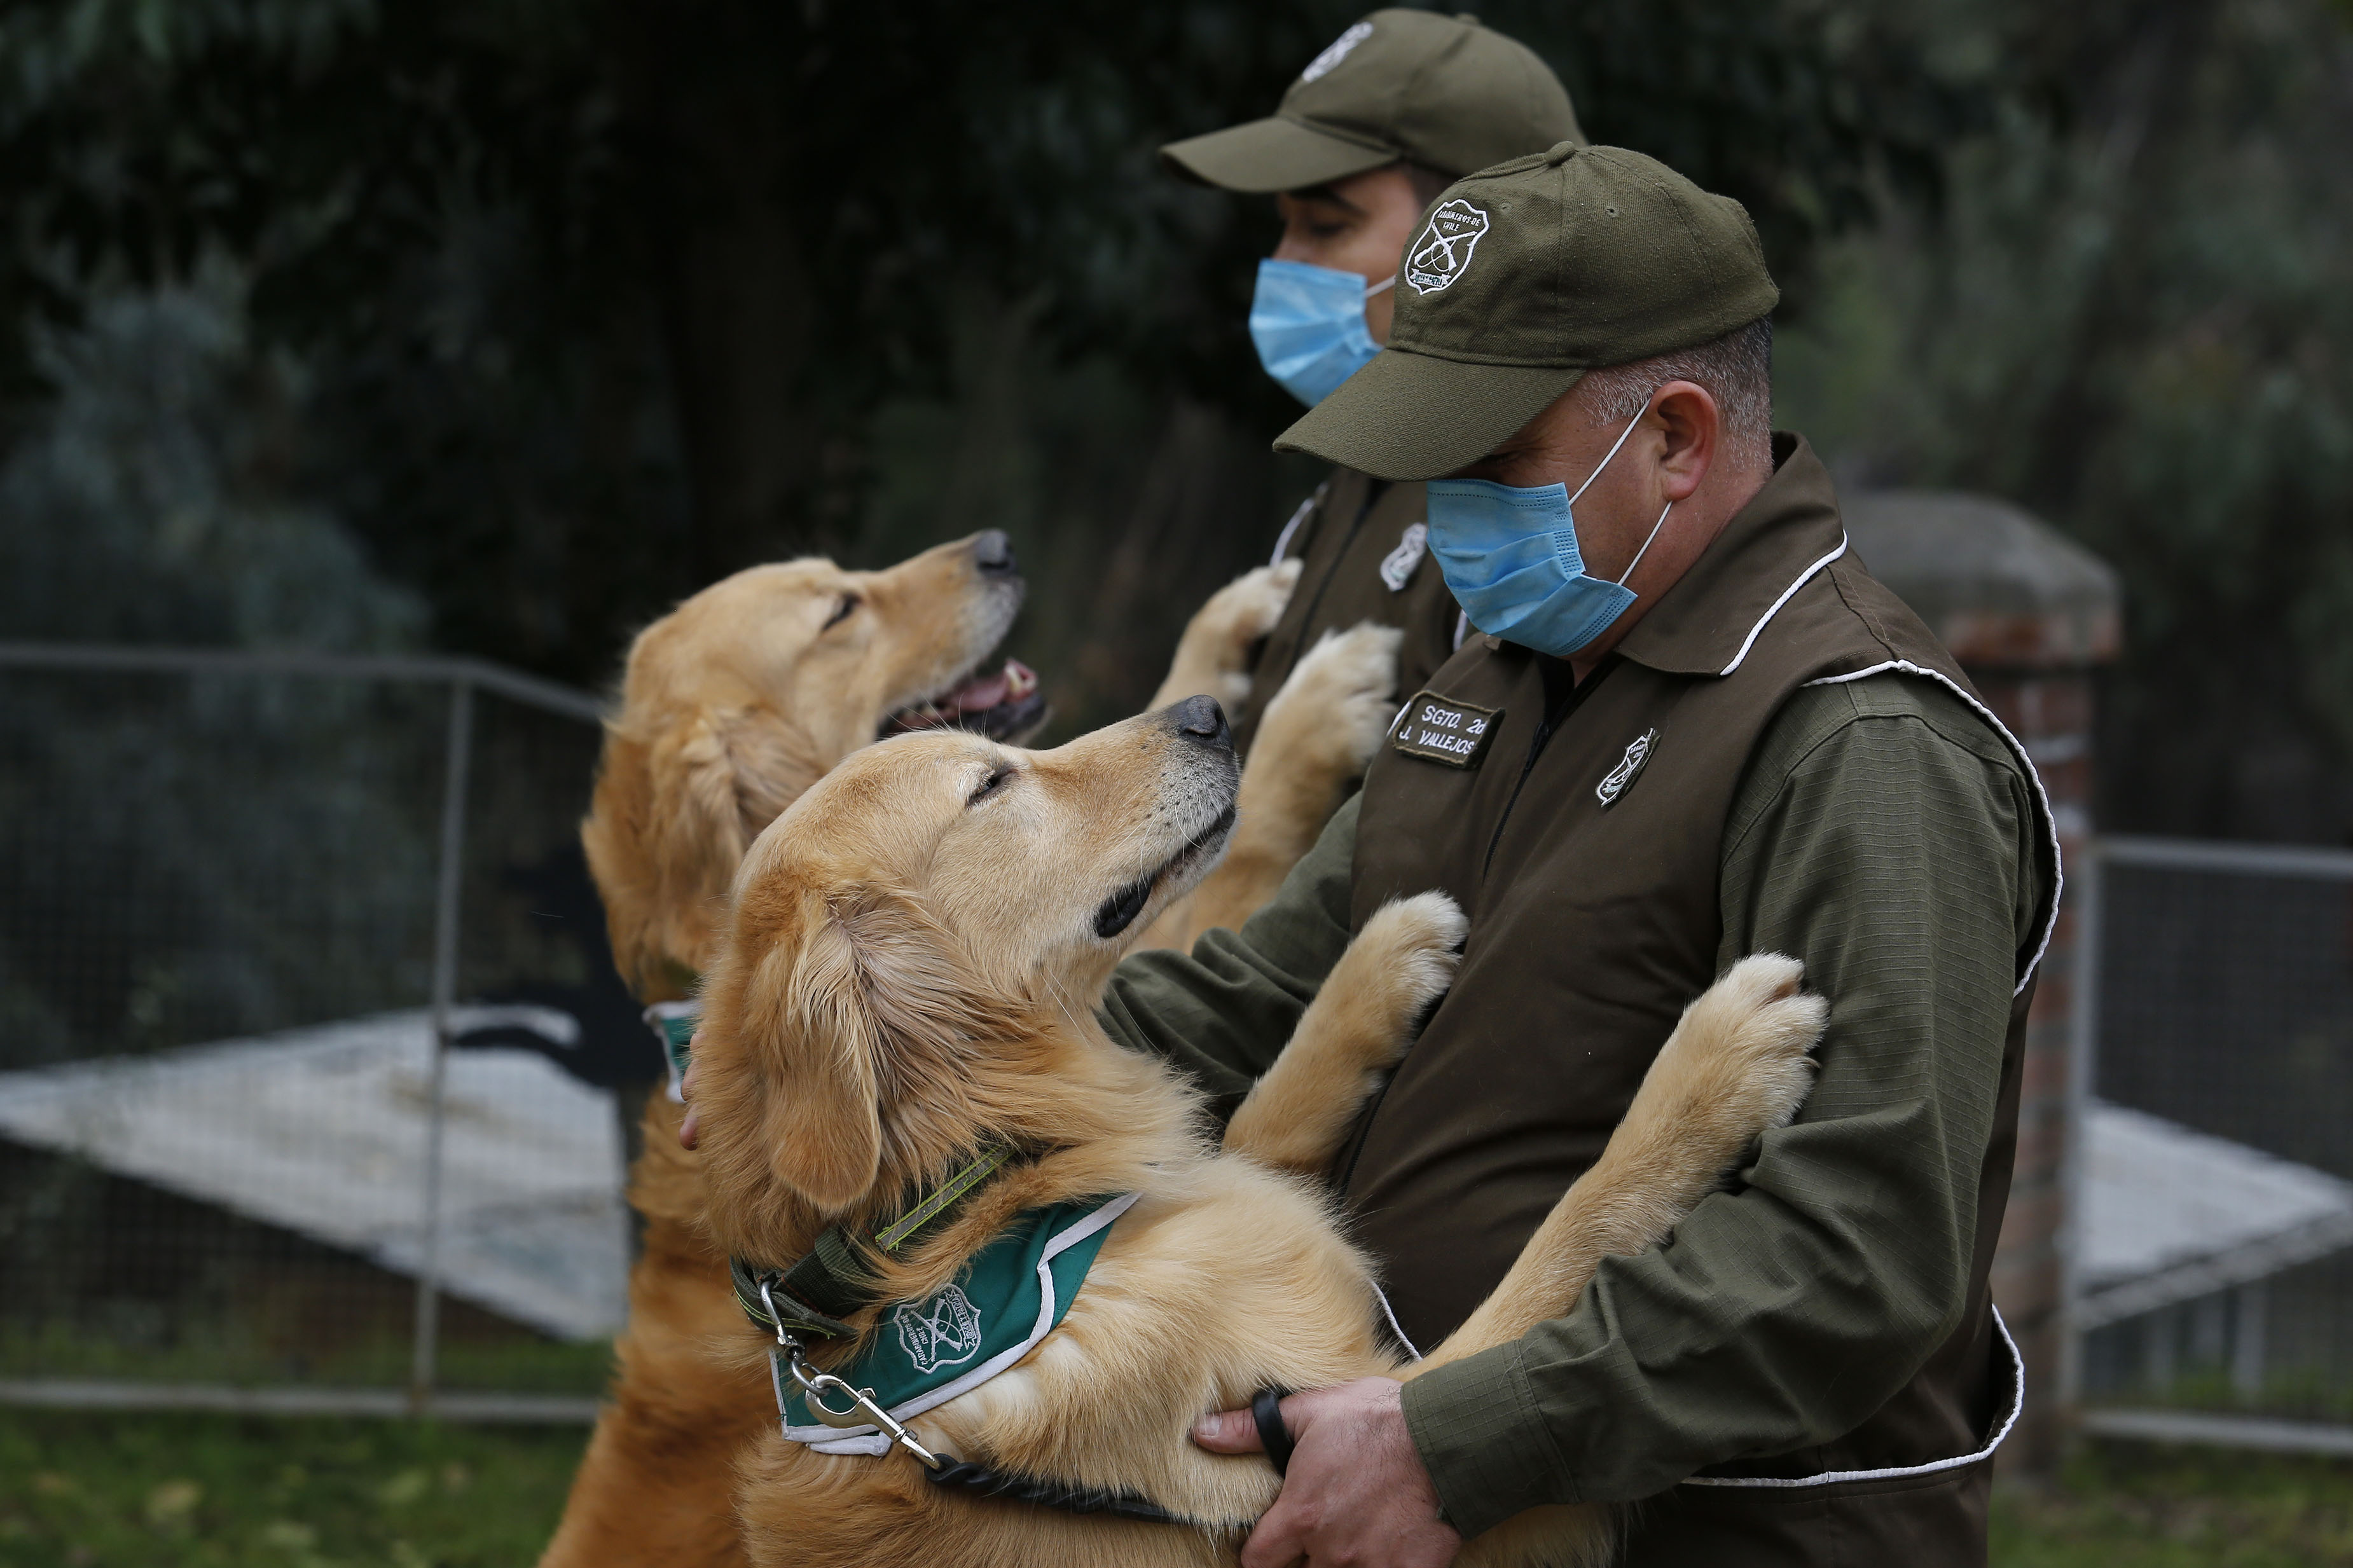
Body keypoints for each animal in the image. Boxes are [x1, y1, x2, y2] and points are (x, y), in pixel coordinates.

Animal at [687, 697, 1826, 1563]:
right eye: (991, 786)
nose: (1206, 711)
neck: (974, 1204)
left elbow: (1271, 1099)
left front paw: (1384, 954)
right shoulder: (1353, 1455)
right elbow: (1570, 1238)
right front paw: (1721, 1060)